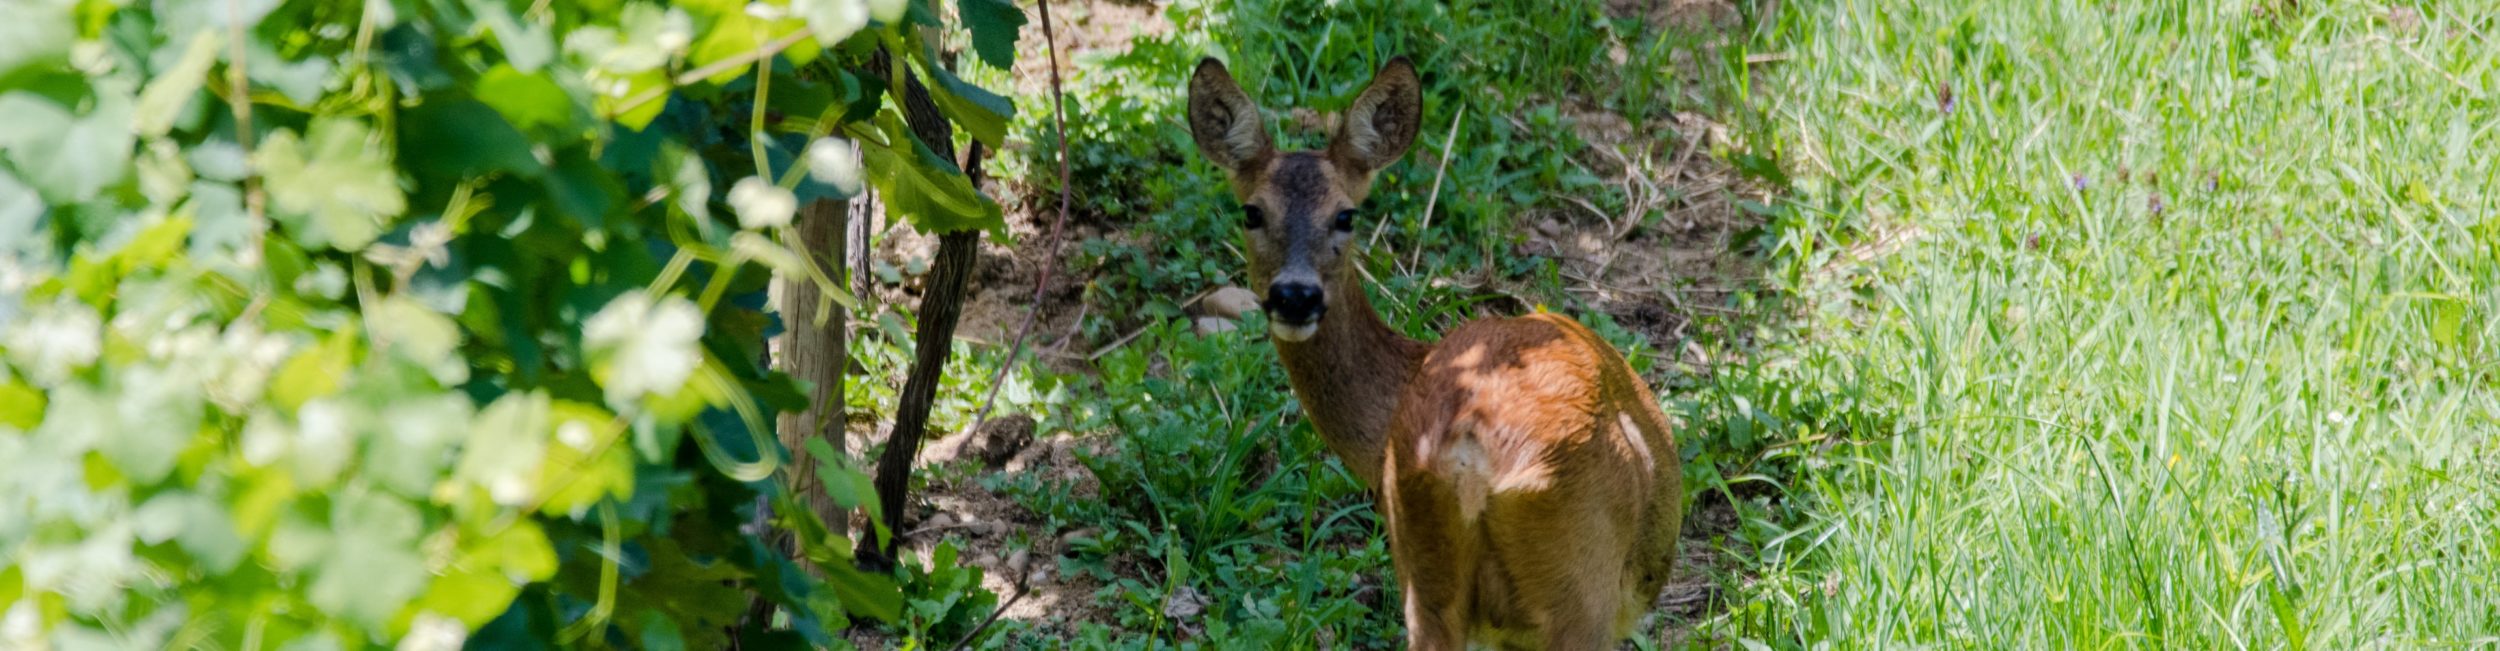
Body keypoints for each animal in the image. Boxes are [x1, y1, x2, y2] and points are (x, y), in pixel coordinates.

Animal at [1185, 58, 1690, 645]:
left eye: (1345, 215)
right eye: (1252, 213)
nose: (1295, 295)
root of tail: (1472, 454)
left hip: (1424, 564)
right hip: (1579, 582)